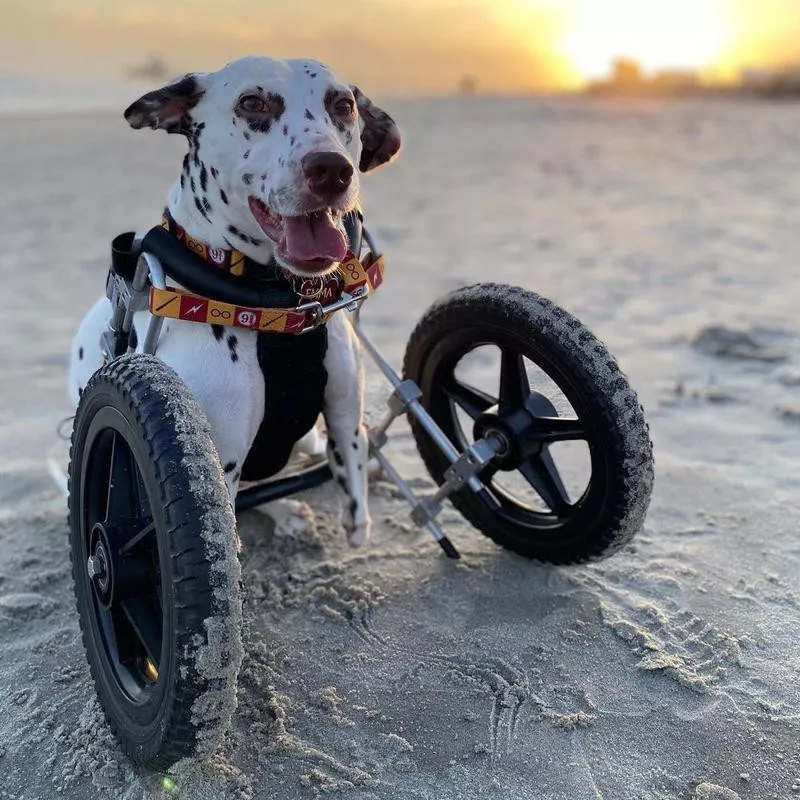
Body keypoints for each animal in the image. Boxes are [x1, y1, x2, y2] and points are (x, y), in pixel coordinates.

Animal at [68, 54, 400, 544]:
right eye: (252, 103)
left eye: (343, 104)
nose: (332, 169)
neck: (279, 306)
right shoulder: (215, 464)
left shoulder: (343, 413)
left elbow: (351, 464)